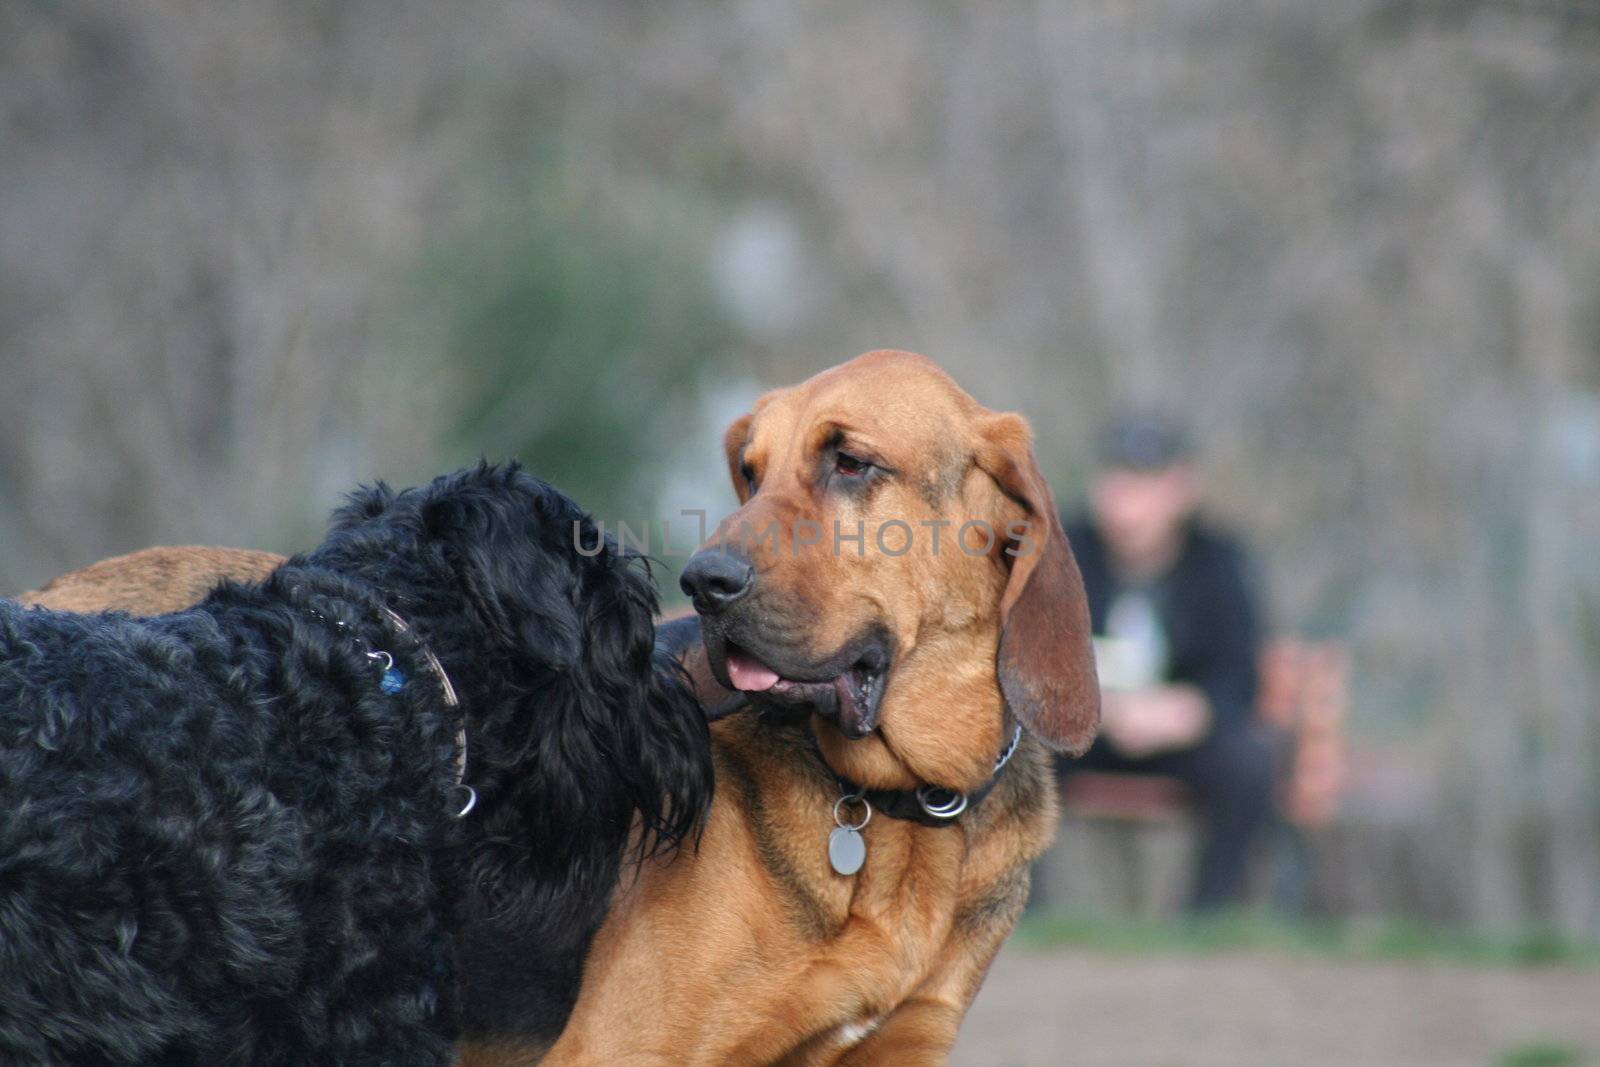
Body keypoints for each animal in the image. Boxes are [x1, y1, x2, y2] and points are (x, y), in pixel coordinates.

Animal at [464, 348, 1100, 1062]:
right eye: (750, 472)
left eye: (850, 462)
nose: (702, 582)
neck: (902, 800)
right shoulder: (619, 1046)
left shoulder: (908, 1041)